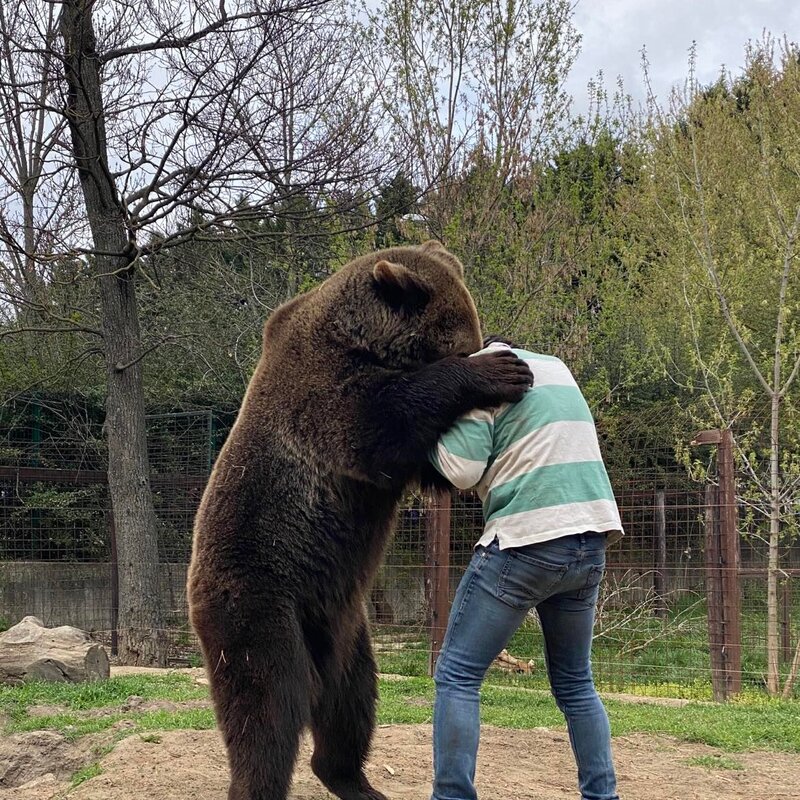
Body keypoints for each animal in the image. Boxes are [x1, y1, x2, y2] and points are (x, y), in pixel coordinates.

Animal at [188, 242, 532, 800]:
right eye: (461, 345)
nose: (481, 348)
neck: (363, 340)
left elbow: (424, 465)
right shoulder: (322, 393)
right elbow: (380, 424)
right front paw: (499, 371)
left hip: (348, 633)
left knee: (351, 704)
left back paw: (355, 780)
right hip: (260, 605)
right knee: (267, 709)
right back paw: (260, 782)